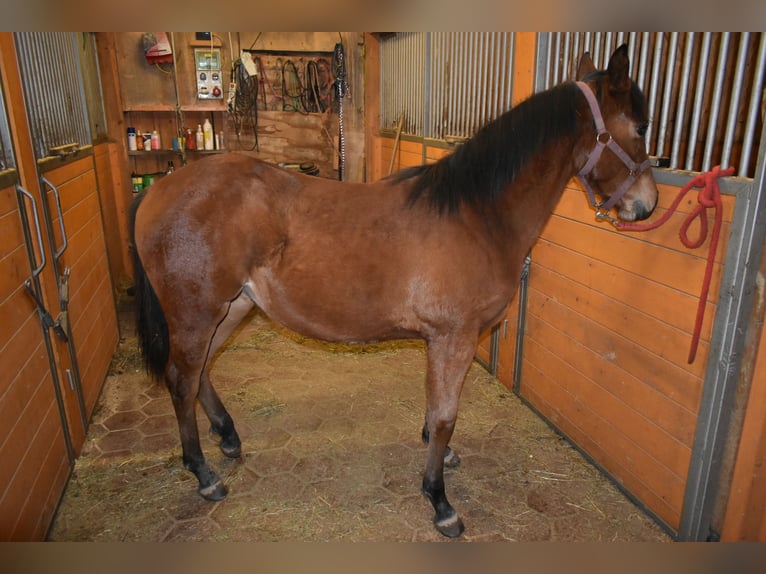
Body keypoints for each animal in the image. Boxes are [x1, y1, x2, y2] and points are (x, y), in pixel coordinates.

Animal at [131, 45, 658, 538]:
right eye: (639, 127)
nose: (647, 205)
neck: (476, 215)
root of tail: (158, 189)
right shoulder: (454, 337)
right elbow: (445, 414)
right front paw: (440, 502)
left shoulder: (442, 340)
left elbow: (435, 407)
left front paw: (440, 459)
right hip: (197, 314)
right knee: (181, 380)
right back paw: (204, 475)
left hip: (230, 308)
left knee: (199, 373)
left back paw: (228, 437)